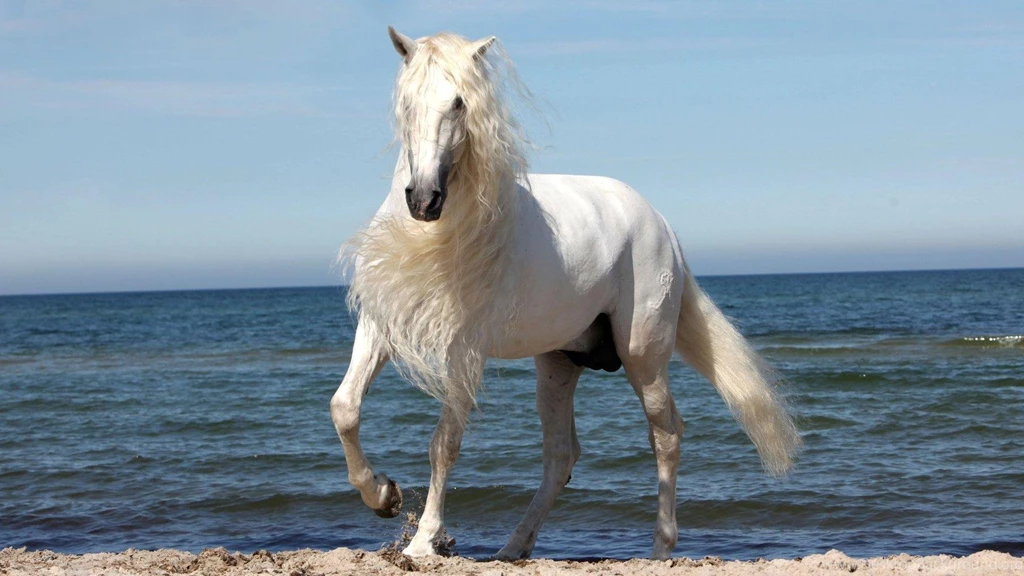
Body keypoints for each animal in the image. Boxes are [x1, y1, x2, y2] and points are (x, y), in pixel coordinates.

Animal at [330, 27, 802, 560]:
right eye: (406, 102)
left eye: (459, 103)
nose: (424, 200)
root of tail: (659, 221)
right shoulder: (380, 325)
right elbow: (344, 408)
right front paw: (383, 496)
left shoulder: (465, 350)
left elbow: (444, 442)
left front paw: (424, 541)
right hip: (558, 363)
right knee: (561, 456)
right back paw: (513, 548)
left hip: (642, 356)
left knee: (665, 434)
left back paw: (660, 547)